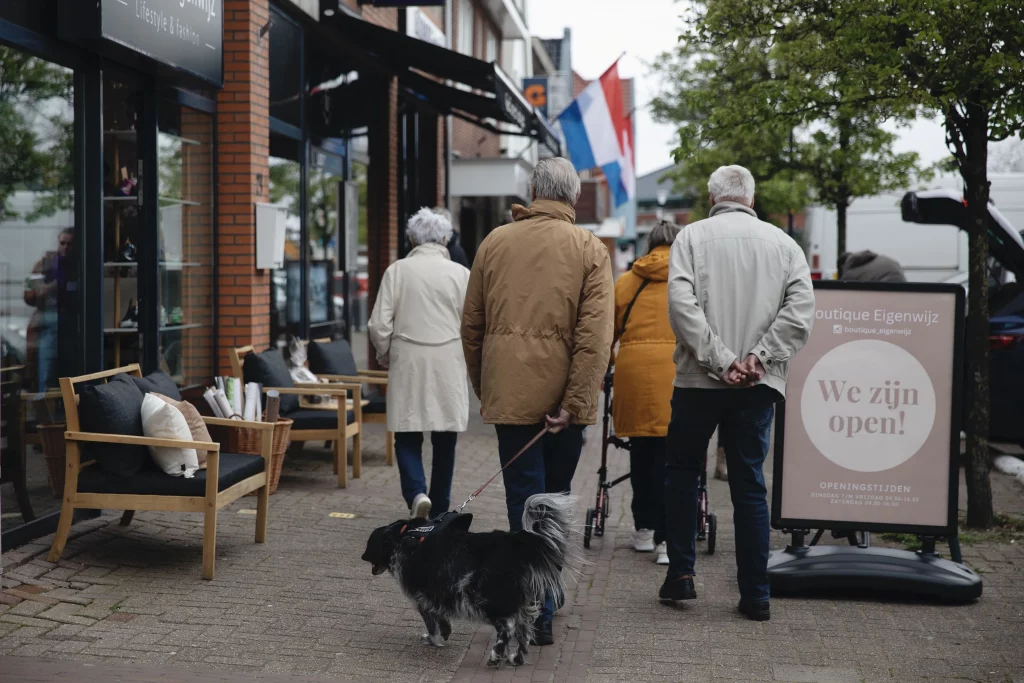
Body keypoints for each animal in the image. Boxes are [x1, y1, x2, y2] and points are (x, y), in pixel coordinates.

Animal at [360, 493, 573, 663]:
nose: (363, 558)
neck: (403, 537)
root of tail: (516, 543)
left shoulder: (421, 597)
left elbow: (432, 623)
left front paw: (433, 640)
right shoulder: (435, 595)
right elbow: (441, 619)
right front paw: (444, 633)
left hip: (484, 597)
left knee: (507, 628)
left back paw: (496, 656)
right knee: (524, 631)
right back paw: (516, 658)